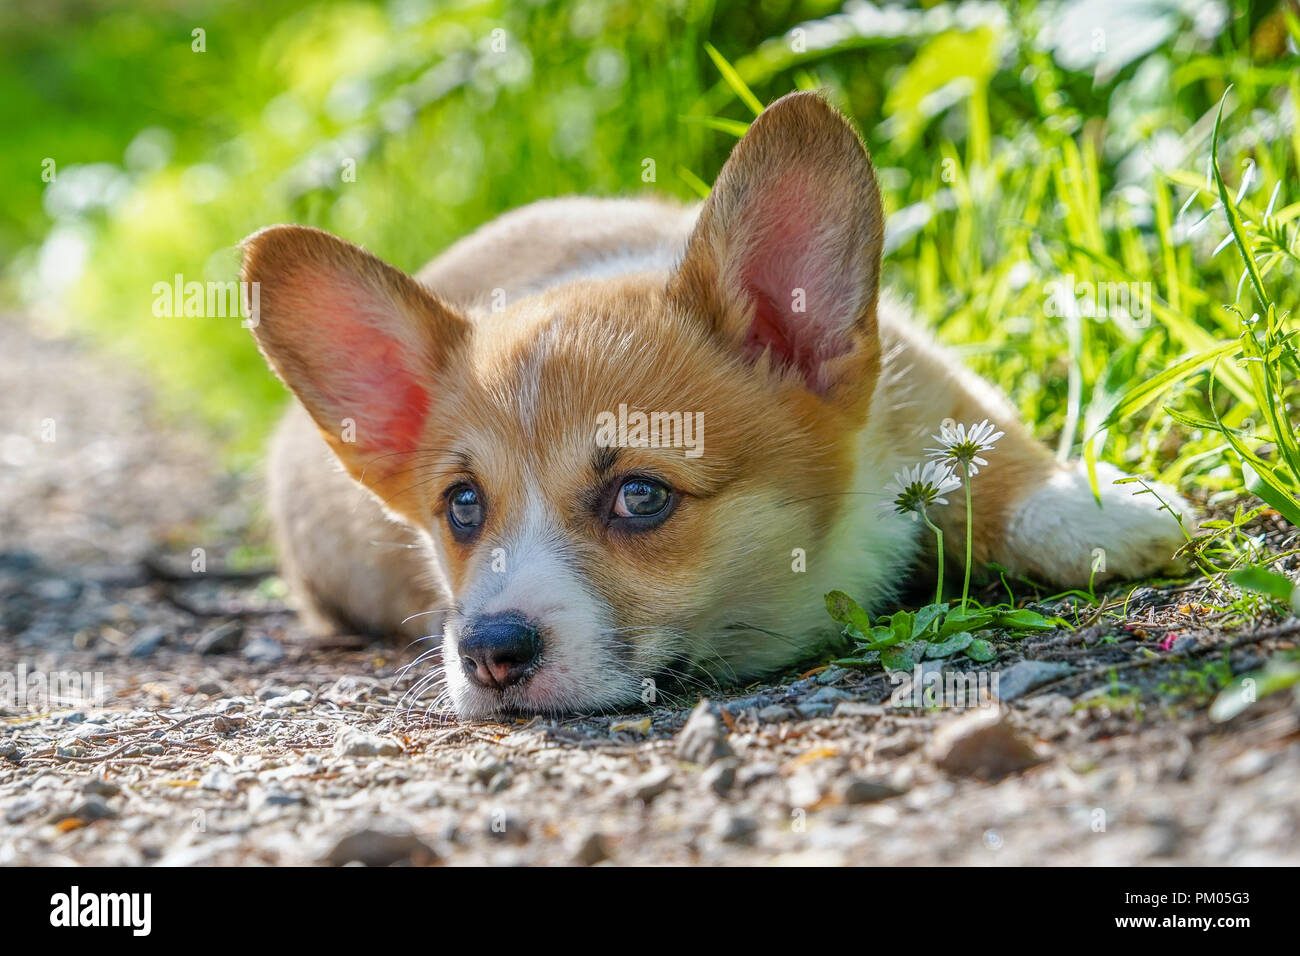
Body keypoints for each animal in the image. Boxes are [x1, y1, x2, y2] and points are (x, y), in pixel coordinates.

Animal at [241, 91, 1190, 717]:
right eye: (461, 507)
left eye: (641, 495)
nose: (489, 653)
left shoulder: (918, 376)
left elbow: (990, 446)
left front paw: (1095, 509)